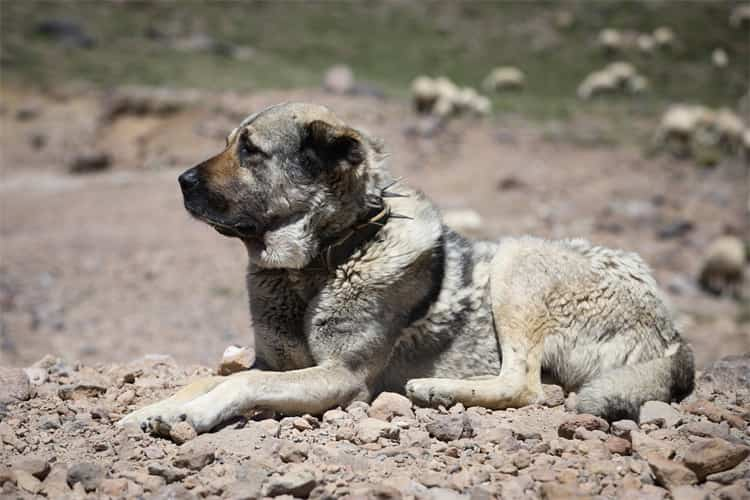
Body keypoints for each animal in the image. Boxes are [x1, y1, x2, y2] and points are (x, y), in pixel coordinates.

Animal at [119, 101, 700, 434]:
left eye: (250, 150)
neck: (323, 260)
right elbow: (207, 379)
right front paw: (152, 409)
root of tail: (672, 334)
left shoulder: (341, 377)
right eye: (228, 143)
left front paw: (194, 414)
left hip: (519, 260)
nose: (181, 181)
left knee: (524, 385)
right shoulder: (272, 360)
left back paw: (434, 390)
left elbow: (239, 386)